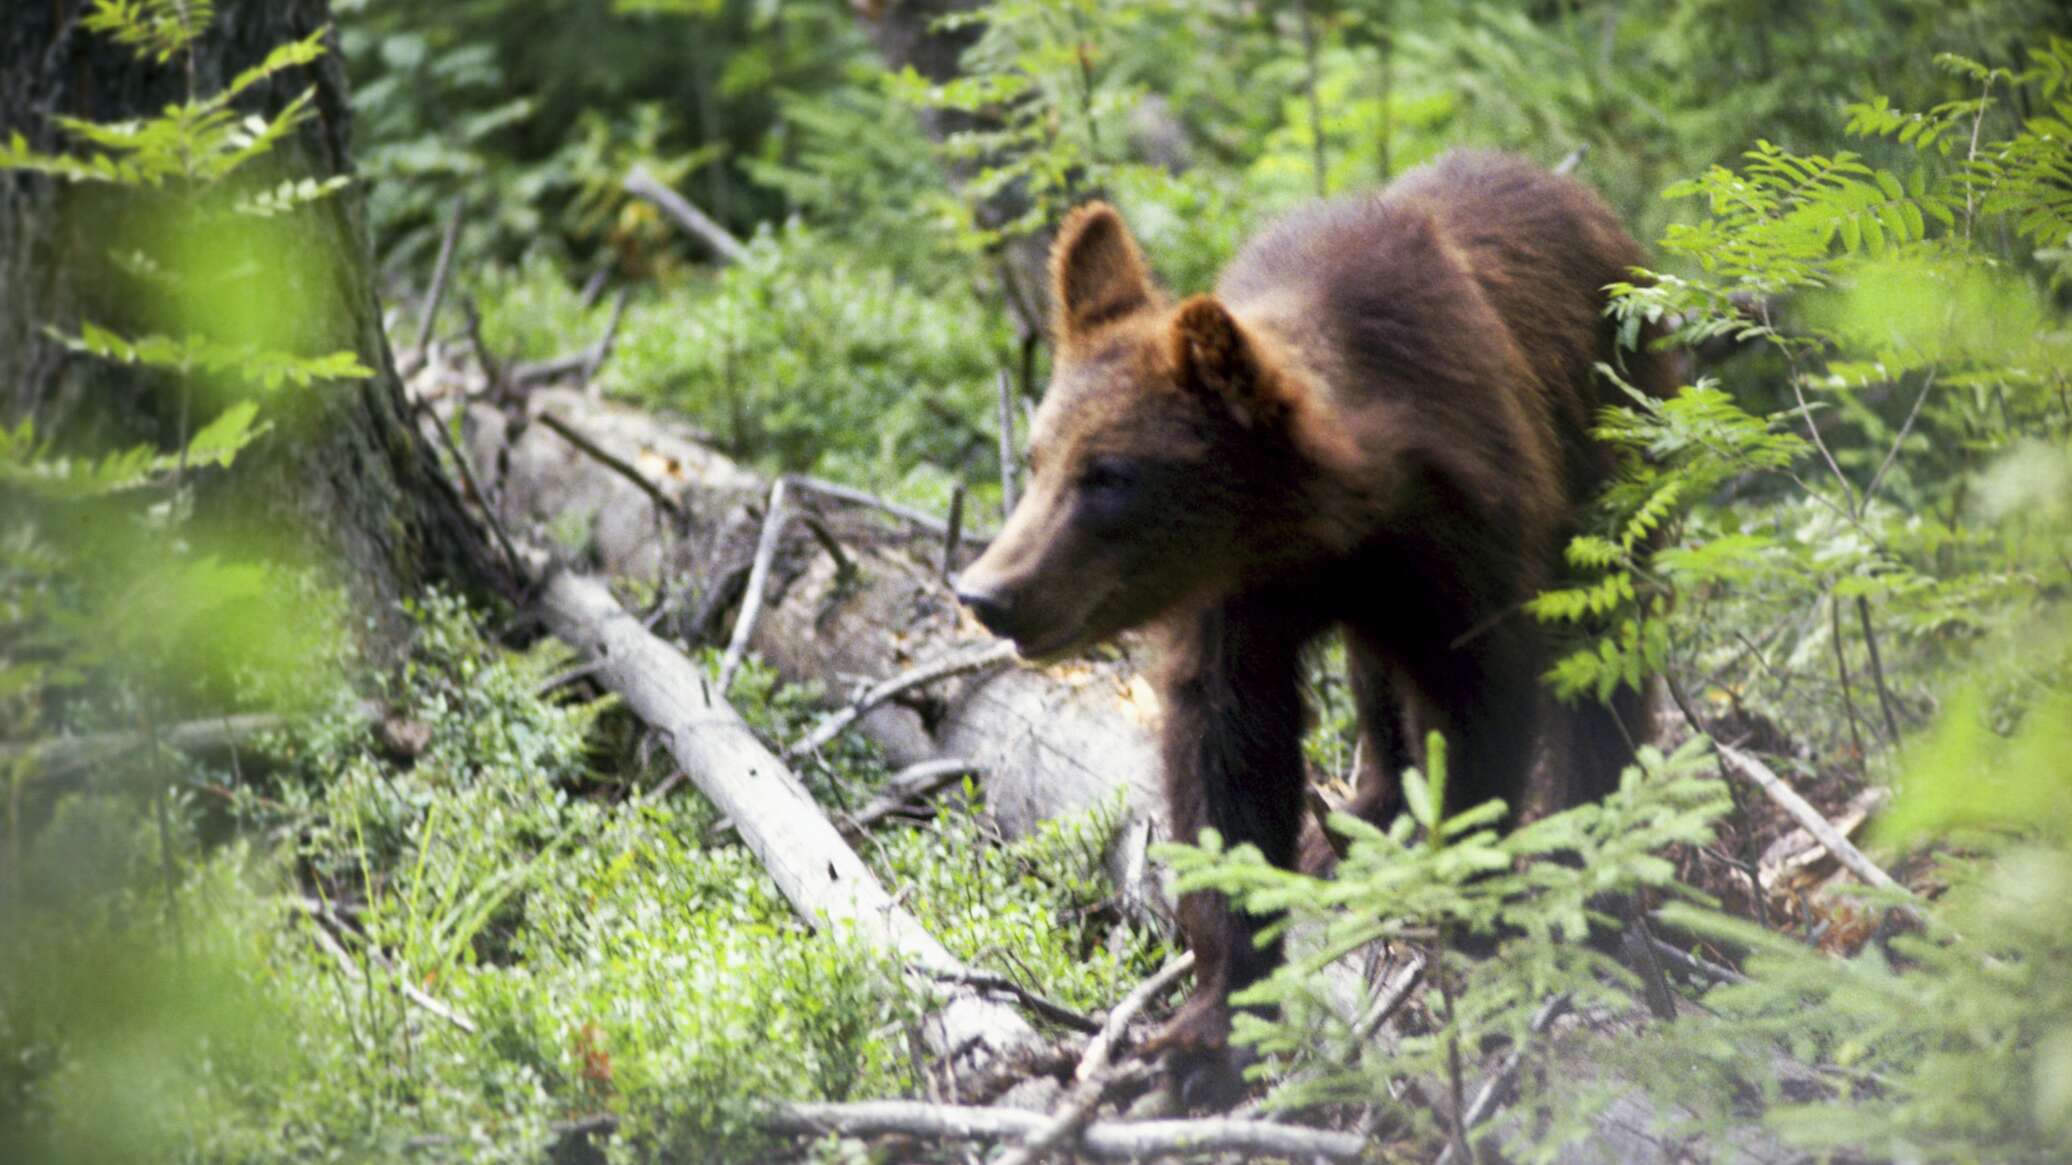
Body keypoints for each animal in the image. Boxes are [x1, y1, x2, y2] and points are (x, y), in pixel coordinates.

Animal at [961, 147, 1674, 1094]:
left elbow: (1481, 709)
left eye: (1108, 474)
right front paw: (1208, 1025)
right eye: (1039, 457)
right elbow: (1228, 757)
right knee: (1377, 683)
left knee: (1605, 659)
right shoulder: (1240, 605)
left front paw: (1473, 916)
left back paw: (1590, 861)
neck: (1330, 528)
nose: (989, 591)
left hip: (1612, 457)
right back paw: (1358, 822)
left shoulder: (1466, 544)